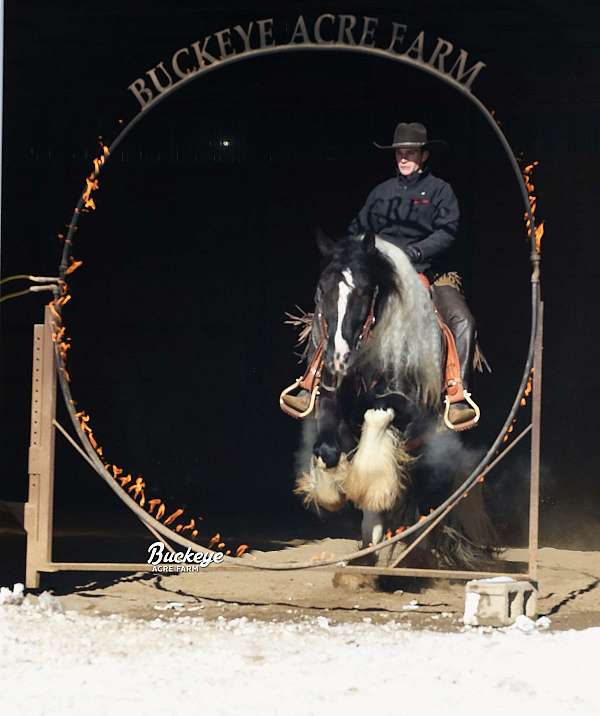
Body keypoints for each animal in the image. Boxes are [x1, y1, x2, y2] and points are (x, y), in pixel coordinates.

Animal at [296, 232, 496, 568]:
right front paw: (331, 493)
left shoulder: (406, 408)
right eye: (322, 289)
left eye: (365, 291)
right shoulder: (330, 405)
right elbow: (326, 450)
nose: (337, 358)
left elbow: (376, 421)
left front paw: (370, 486)